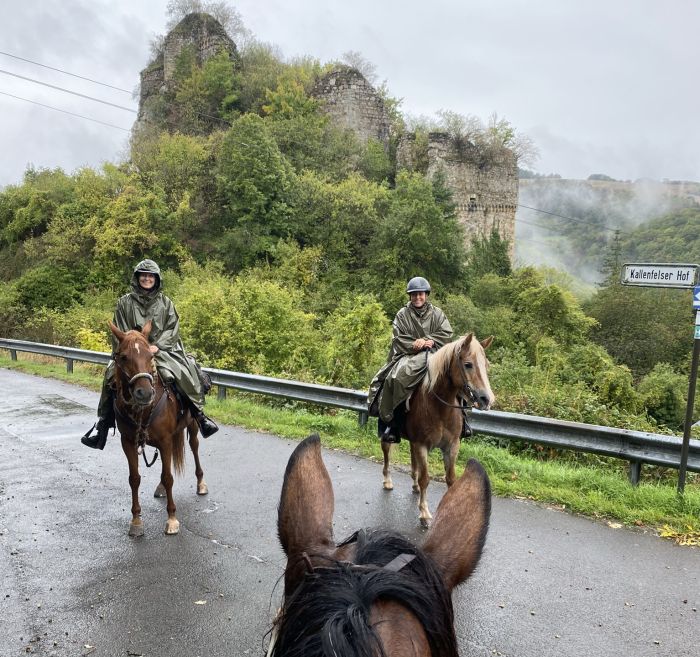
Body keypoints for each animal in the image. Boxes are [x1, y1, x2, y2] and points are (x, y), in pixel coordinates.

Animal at [108, 320, 208, 536]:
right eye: (124, 357)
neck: (142, 410)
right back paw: (161, 488)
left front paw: (172, 519)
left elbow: (168, 476)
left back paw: (201, 484)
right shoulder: (128, 442)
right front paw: (136, 521)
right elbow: (134, 478)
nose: (145, 393)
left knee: (195, 447)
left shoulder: (165, 440)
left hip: (192, 426)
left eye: (151, 356)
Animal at [382, 336, 492, 524]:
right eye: (468, 364)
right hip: (386, 433)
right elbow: (425, 479)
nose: (487, 399)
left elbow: (451, 479)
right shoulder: (421, 445)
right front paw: (424, 513)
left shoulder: (452, 446)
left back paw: (414, 486)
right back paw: (388, 481)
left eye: (486, 365)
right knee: (387, 455)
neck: (439, 408)